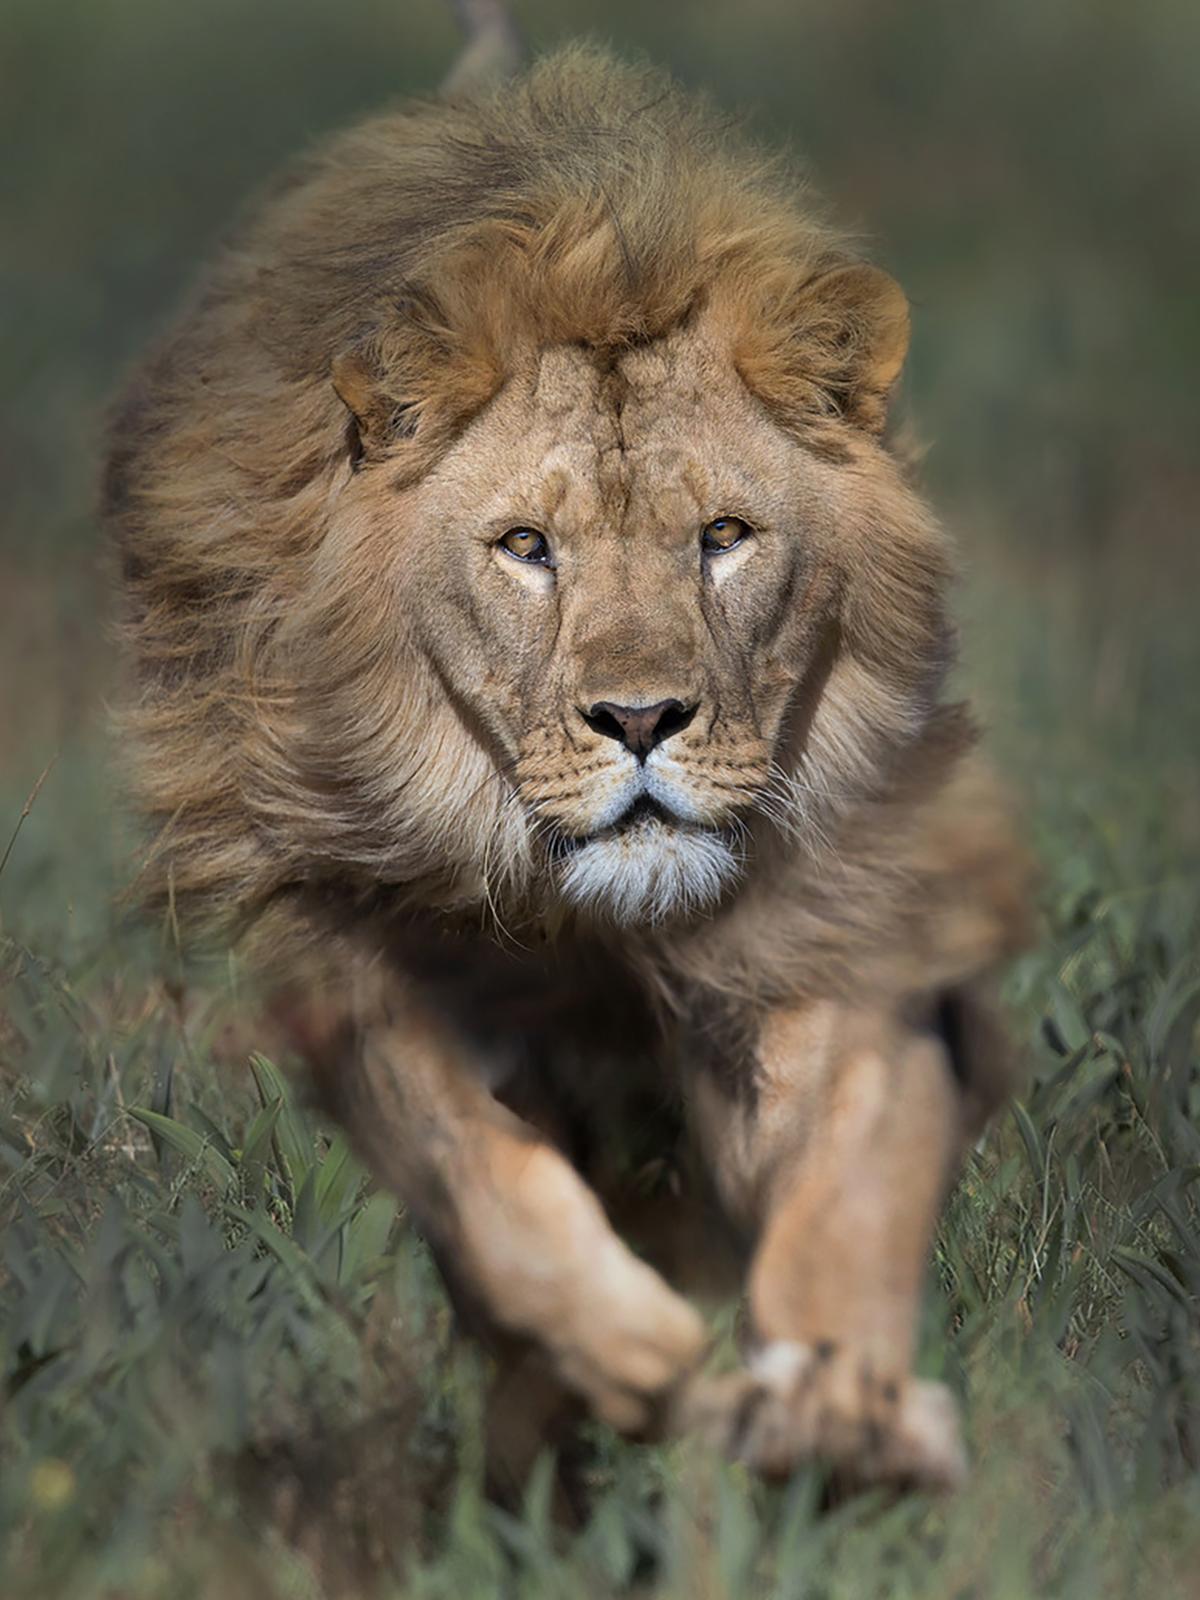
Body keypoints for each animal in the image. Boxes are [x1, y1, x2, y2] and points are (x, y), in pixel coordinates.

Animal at [104, 46, 1031, 1496]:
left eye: (725, 535)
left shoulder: (845, 916)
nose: (641, 717)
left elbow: (852, 1166)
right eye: (527, 547)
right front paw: (625, 1350)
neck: (589, 924)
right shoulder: (352, 952)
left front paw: (840, 1401)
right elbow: (477, 1169)